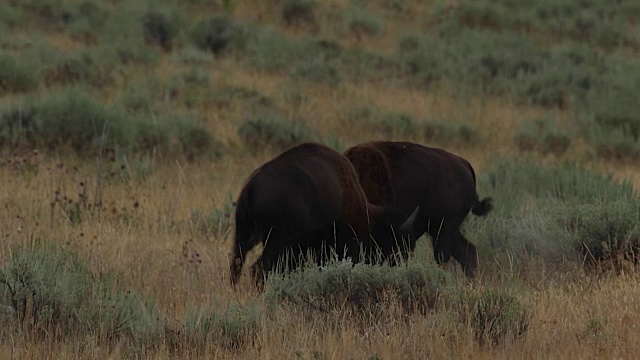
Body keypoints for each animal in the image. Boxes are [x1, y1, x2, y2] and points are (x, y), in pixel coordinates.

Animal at [230, 142, 420, 286]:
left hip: (244, 235)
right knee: (258, 268)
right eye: (395, 244)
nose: (399, 266)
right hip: (276, 241)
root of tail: (250, 187)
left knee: (237, 263)